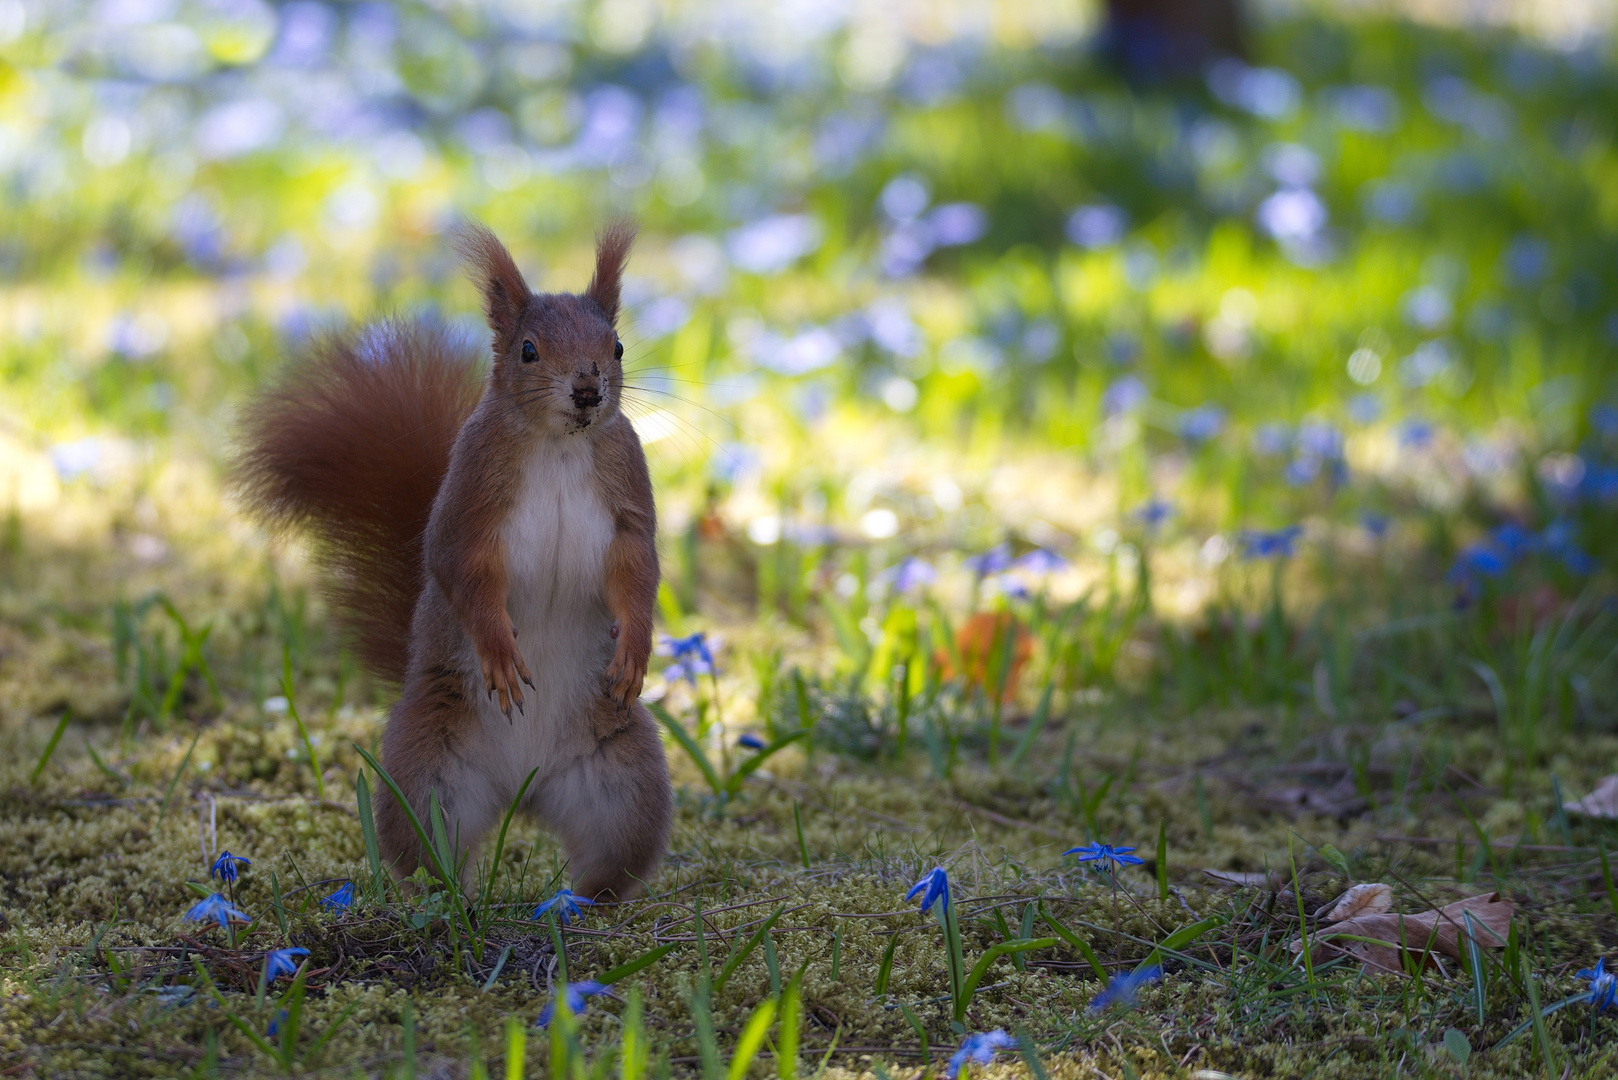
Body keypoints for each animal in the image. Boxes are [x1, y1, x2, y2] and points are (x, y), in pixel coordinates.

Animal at [232, 223, 669, 900]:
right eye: (528, 350)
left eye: (617, 346)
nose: (587, 391)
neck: (560, 446)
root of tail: (527, 789)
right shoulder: (469, 497)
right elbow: (459, 568)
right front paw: (499, 651)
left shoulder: (626, 495)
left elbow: (638, 571)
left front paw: (635, 650)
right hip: (429, 771)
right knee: (429, 852)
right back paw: (452, 896)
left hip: (625, 780)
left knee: (612, 855)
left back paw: (580, 903)